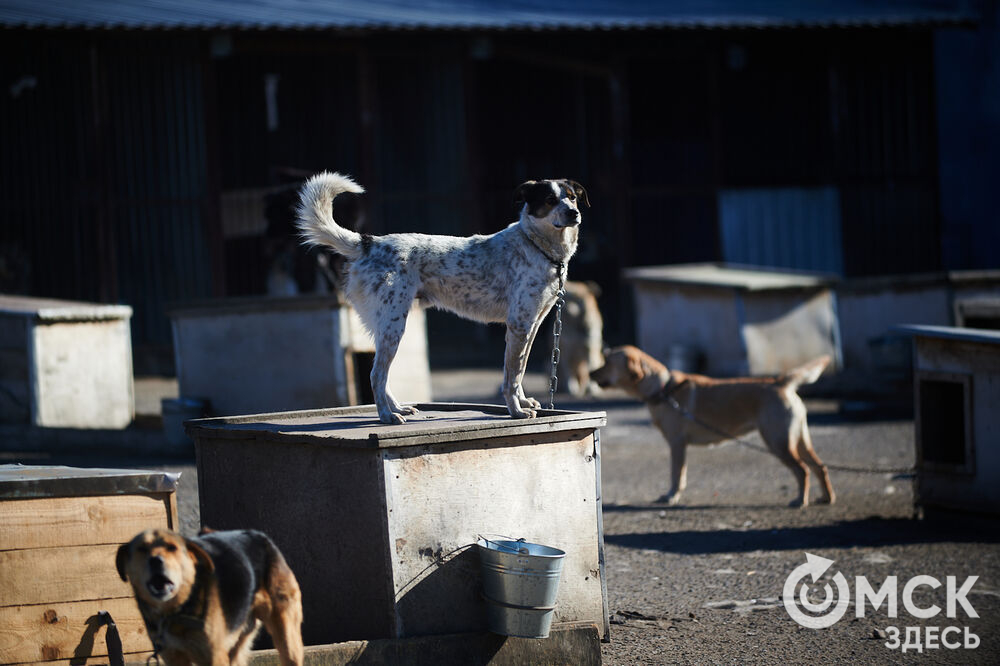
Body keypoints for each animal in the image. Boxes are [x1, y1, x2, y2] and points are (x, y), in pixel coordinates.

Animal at [115, 528, 302, 660]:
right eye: (142, 549)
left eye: (172, 548)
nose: (156, 561)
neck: (174, 611)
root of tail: (261, 536)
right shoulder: (173, 656)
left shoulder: (212, 655)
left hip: (287, 639)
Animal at [300, 170, 588, 420]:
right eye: (550, 200)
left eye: (572, 197)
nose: (574, 213)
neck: (537, 246)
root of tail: (369, 243)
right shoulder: (519, 325)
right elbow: (511, 375)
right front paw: (516, 411)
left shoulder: (532, 325)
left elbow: (520, 370)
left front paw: (524, 402)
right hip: (394, 325)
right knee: (376, 375)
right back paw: (387, 416)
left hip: (385, 328)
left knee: (381, 373)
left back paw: (398, 409)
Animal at [588, 344, 832, 506]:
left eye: (607, 362)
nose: (589, 373)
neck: (663, 389)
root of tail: (780, 382)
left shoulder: (677, 444)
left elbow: (676, 475)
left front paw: (671, 496)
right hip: (798, 439)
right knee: (820, 466)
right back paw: (826, 498)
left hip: (778, 442)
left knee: (802, 469)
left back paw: (800, 500)